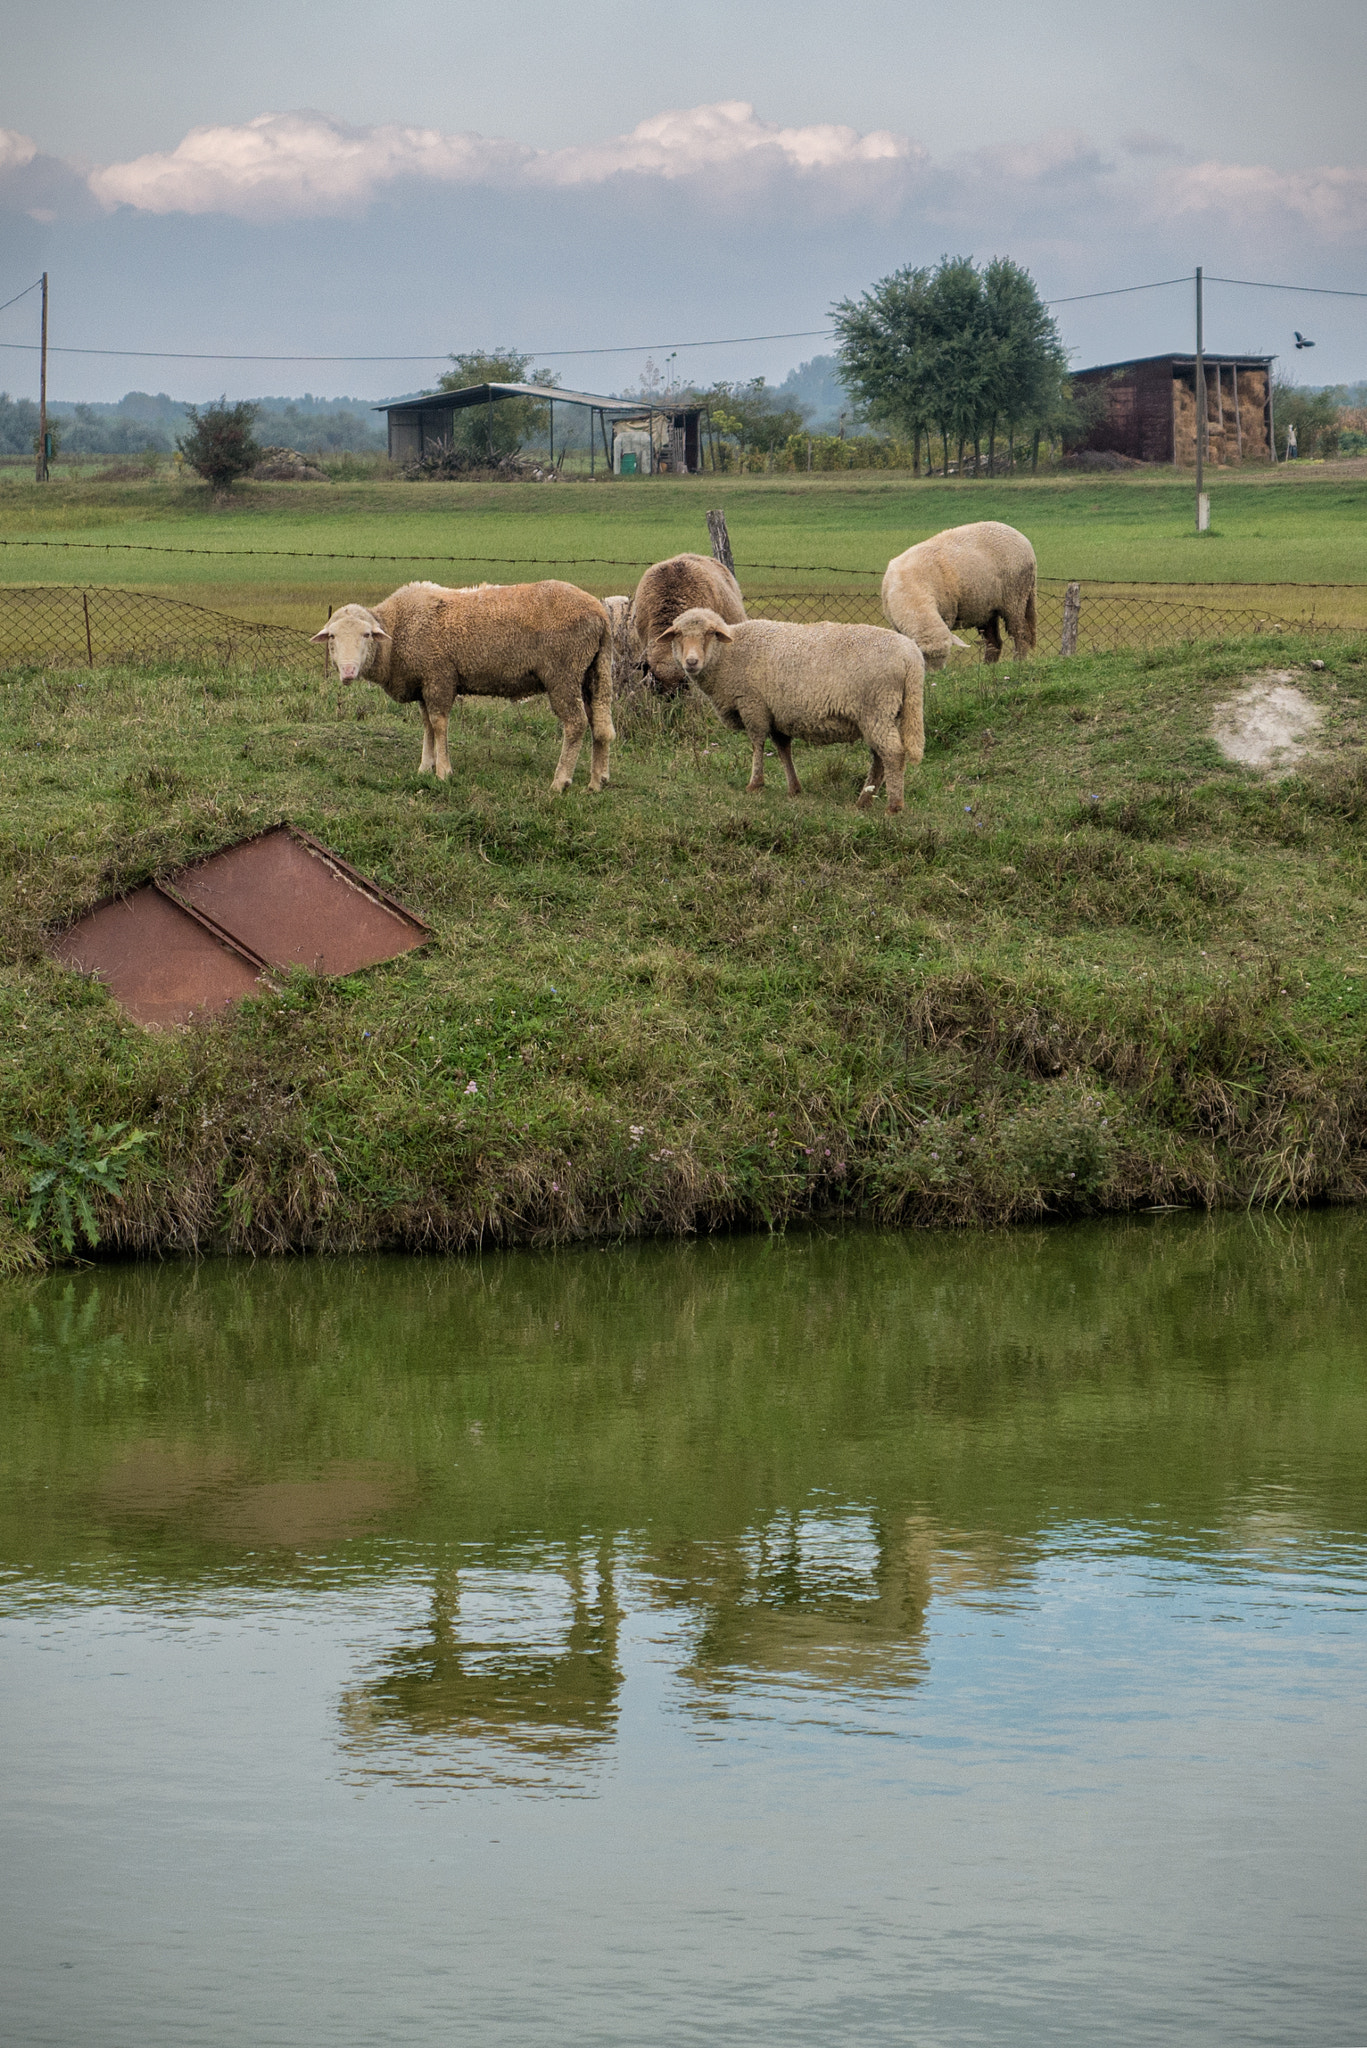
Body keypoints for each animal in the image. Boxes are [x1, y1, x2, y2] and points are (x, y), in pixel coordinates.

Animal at [312, 579, 614, 792]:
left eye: (366, 635)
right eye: (332, 637)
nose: (348, 672)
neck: (397, 632)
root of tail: (600, 613)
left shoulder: (438, 676)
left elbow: (439, 723)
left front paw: (443, 772)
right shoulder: (424, 682)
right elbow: (427, 725)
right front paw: (425, 767)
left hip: (563, 671)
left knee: (575, 723)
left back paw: (560, 782)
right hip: (593, 671)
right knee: (601, 725)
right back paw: (596, 781)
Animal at [660, 607, 924, 814]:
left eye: (709, 634)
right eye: (678, 634)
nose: (691, 662)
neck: (729, 654)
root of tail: (912, 656)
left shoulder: (752, 703)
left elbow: (757, 743)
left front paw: (755, 784)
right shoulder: (777, 713)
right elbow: (783, 749)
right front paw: (794, 789)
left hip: (876, 708)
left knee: (892, 754)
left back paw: (893, 806)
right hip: (885, 713)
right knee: (880, 757)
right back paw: (865, 800)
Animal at [881, 520, 1037, 670]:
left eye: (946, 656)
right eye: (923, 657)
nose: (936, 675)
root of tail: (1024, 540)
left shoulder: (947, 614)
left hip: (1016, 595)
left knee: (1020, 633)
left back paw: (1018, 661)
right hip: (986, 609)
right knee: (994, 641)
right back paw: (987, 665)